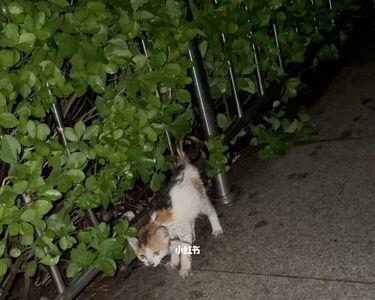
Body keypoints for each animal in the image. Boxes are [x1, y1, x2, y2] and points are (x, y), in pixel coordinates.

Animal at [129, 144, 223, 278]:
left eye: (156, 252)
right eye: (142, 256)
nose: (150, 264)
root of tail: (182, 166)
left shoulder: (182, 232)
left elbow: (184, 250)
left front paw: (184, 267)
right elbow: (175, 249)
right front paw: (173, 262)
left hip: (199, 200)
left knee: (210, 209)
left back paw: (216, 228)